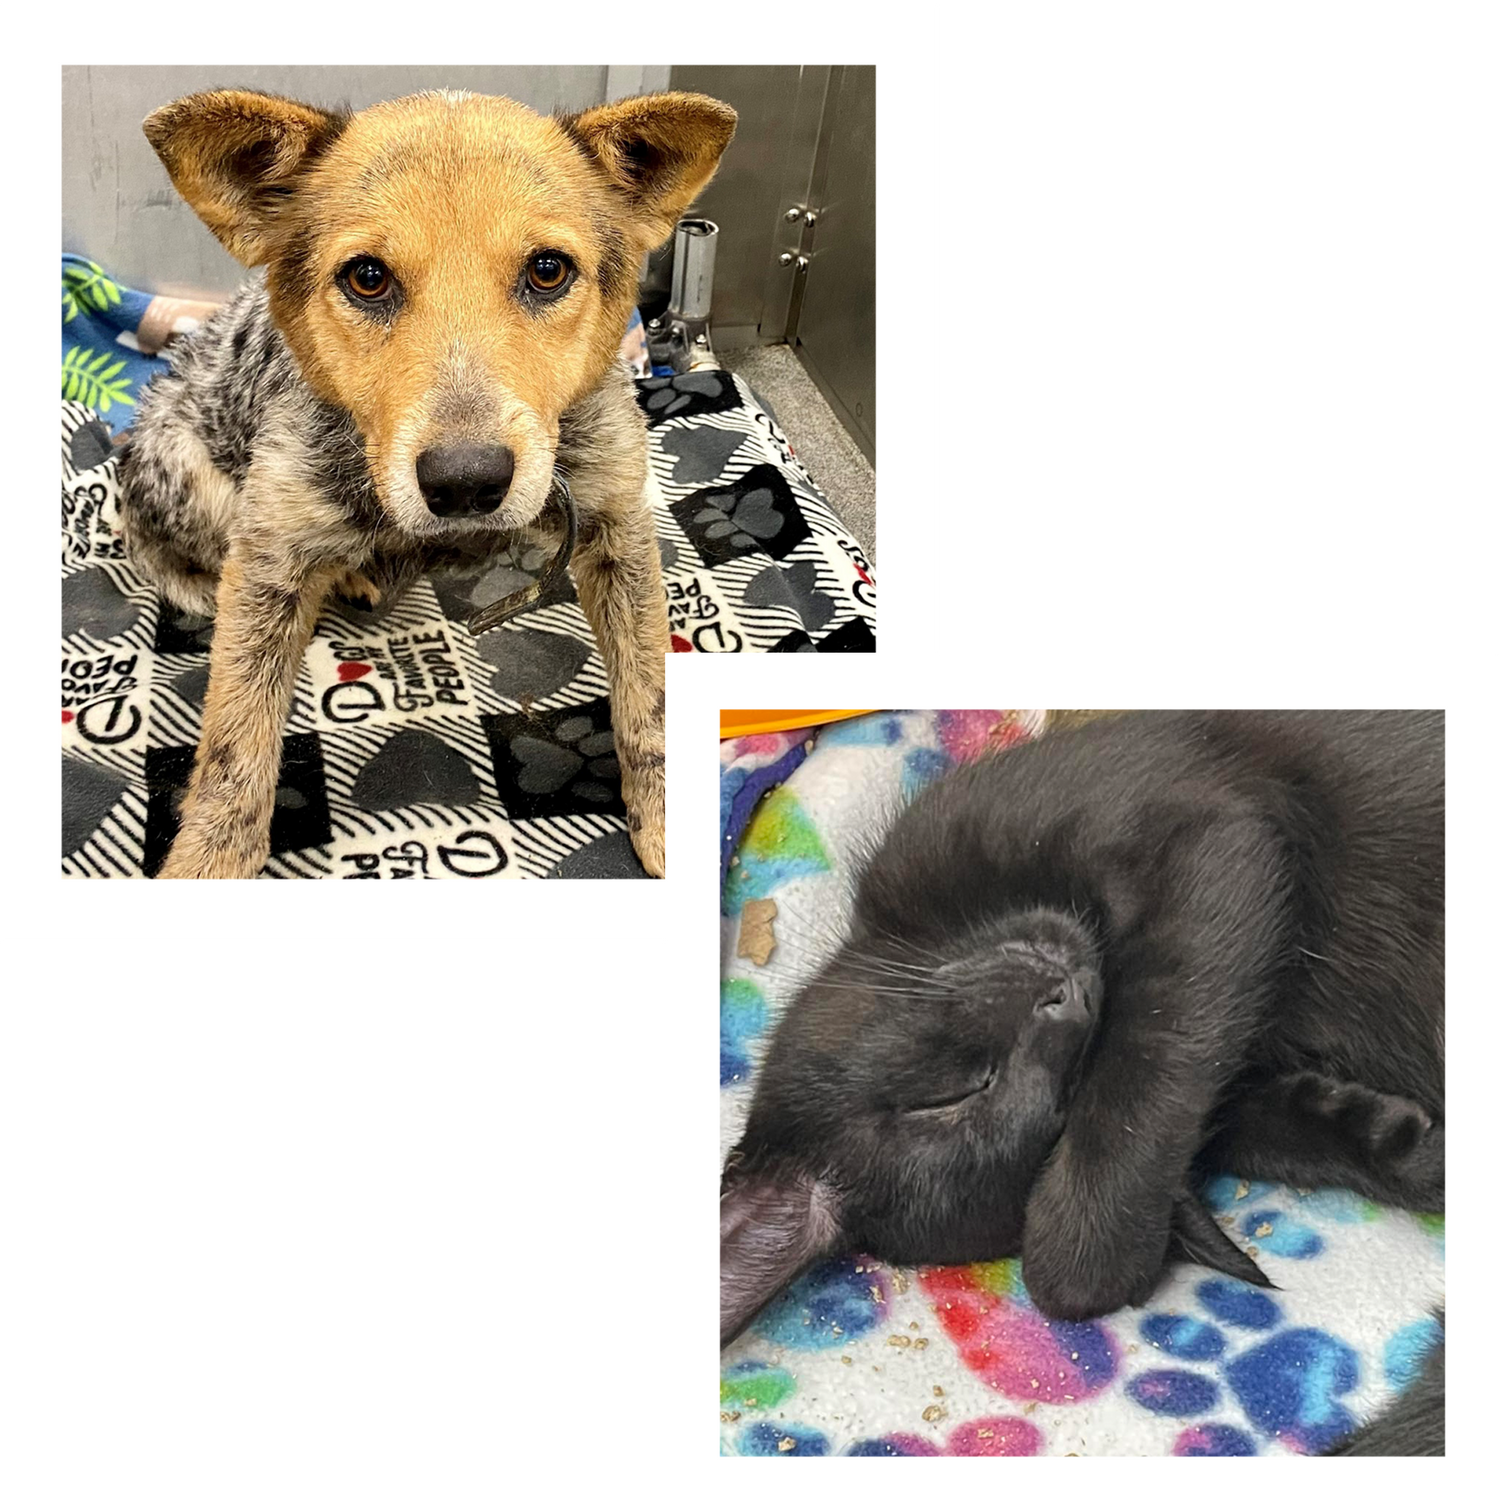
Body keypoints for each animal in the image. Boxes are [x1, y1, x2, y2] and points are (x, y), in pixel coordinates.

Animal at [115, 85, 732, 876]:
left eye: (548, 270)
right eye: (367, 277)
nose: (466, 482)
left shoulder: (618, 532)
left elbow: (647, 693)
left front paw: (665, 813)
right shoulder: (267, 560)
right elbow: (235, 741)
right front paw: (210, 859)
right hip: (191, 472)